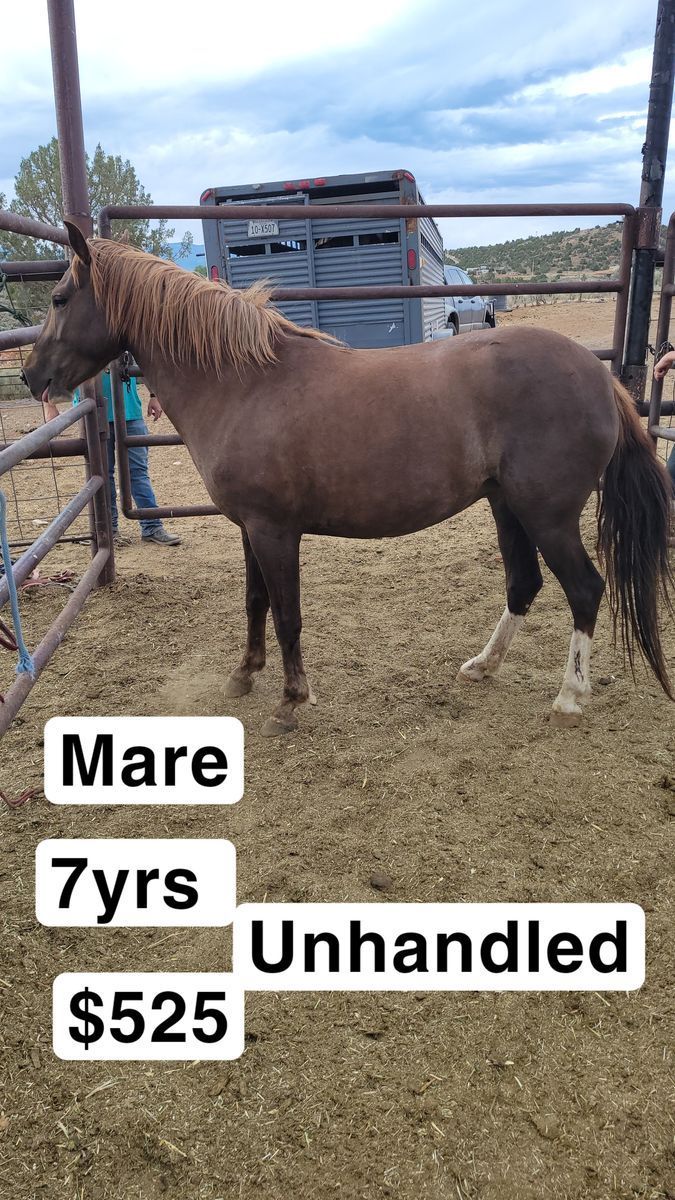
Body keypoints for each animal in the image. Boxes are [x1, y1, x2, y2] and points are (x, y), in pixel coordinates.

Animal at [22, 221, 673, 736]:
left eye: (58, 297)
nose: (31, 376)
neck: (244, 384)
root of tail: (599, 377)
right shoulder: (249, 528)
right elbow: (256, 601)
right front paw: (244, 675)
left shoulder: (275, 531)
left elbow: (287, 612)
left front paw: (290, 702)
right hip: (507, 505)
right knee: (524, 584)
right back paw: (483, 666)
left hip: (548, 515)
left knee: (584, 589)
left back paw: (569, 697)